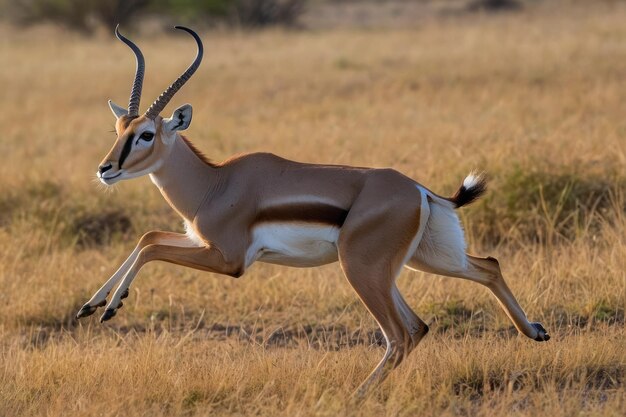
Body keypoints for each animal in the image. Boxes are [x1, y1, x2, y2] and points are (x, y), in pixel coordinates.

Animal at [75, 25, 548, 394]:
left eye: (147, 134)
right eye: (119, 128)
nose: (105, 169)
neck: (214, 185)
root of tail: (419, 189)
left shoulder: (228, 260)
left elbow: (152, 247)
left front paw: (111, 307)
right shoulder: (199, 240)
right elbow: (147, 238)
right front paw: (92, 306)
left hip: (362, 270)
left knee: (401, 334)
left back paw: (356, 395)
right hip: (422, 259)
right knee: (477, 274)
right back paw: (536, 331)